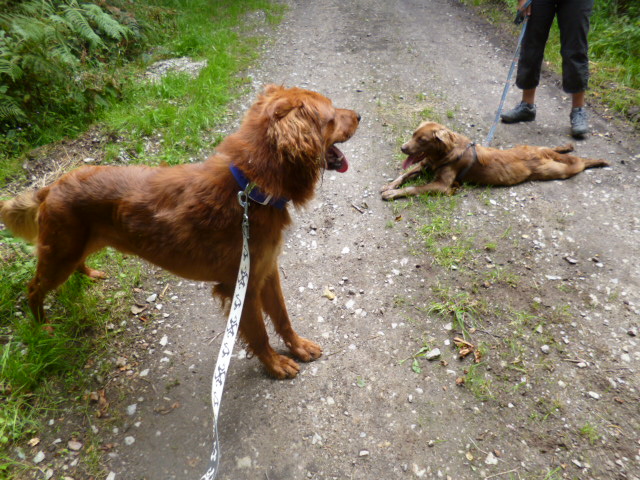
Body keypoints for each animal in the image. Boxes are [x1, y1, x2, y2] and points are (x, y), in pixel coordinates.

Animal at [0, 85, 360, 378]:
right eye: (331, 117)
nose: (359, 115)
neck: (249, 189)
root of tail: (50, 187)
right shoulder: (240, 286)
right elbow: (259, 333)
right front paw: (274, 364)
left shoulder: (266, 271)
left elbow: (283, 318)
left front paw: (297, 347)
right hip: (59, 256)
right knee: (33, 289)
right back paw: (42, 326)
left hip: (74, 248)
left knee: (73, 267)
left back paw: (90, 274)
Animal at [380, 123, 608, 202]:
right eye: (413, 134)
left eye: (422, 140)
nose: (403, 148)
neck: (444, 154)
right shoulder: (424, 165)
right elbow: (404, 174)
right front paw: (390, 185)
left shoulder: (442, 185)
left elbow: (415, 188)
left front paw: (392, 194)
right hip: (535, 148)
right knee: (553, 148)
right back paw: (566, 146)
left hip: (558, 170)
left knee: (580, 162)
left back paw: (601, 160)